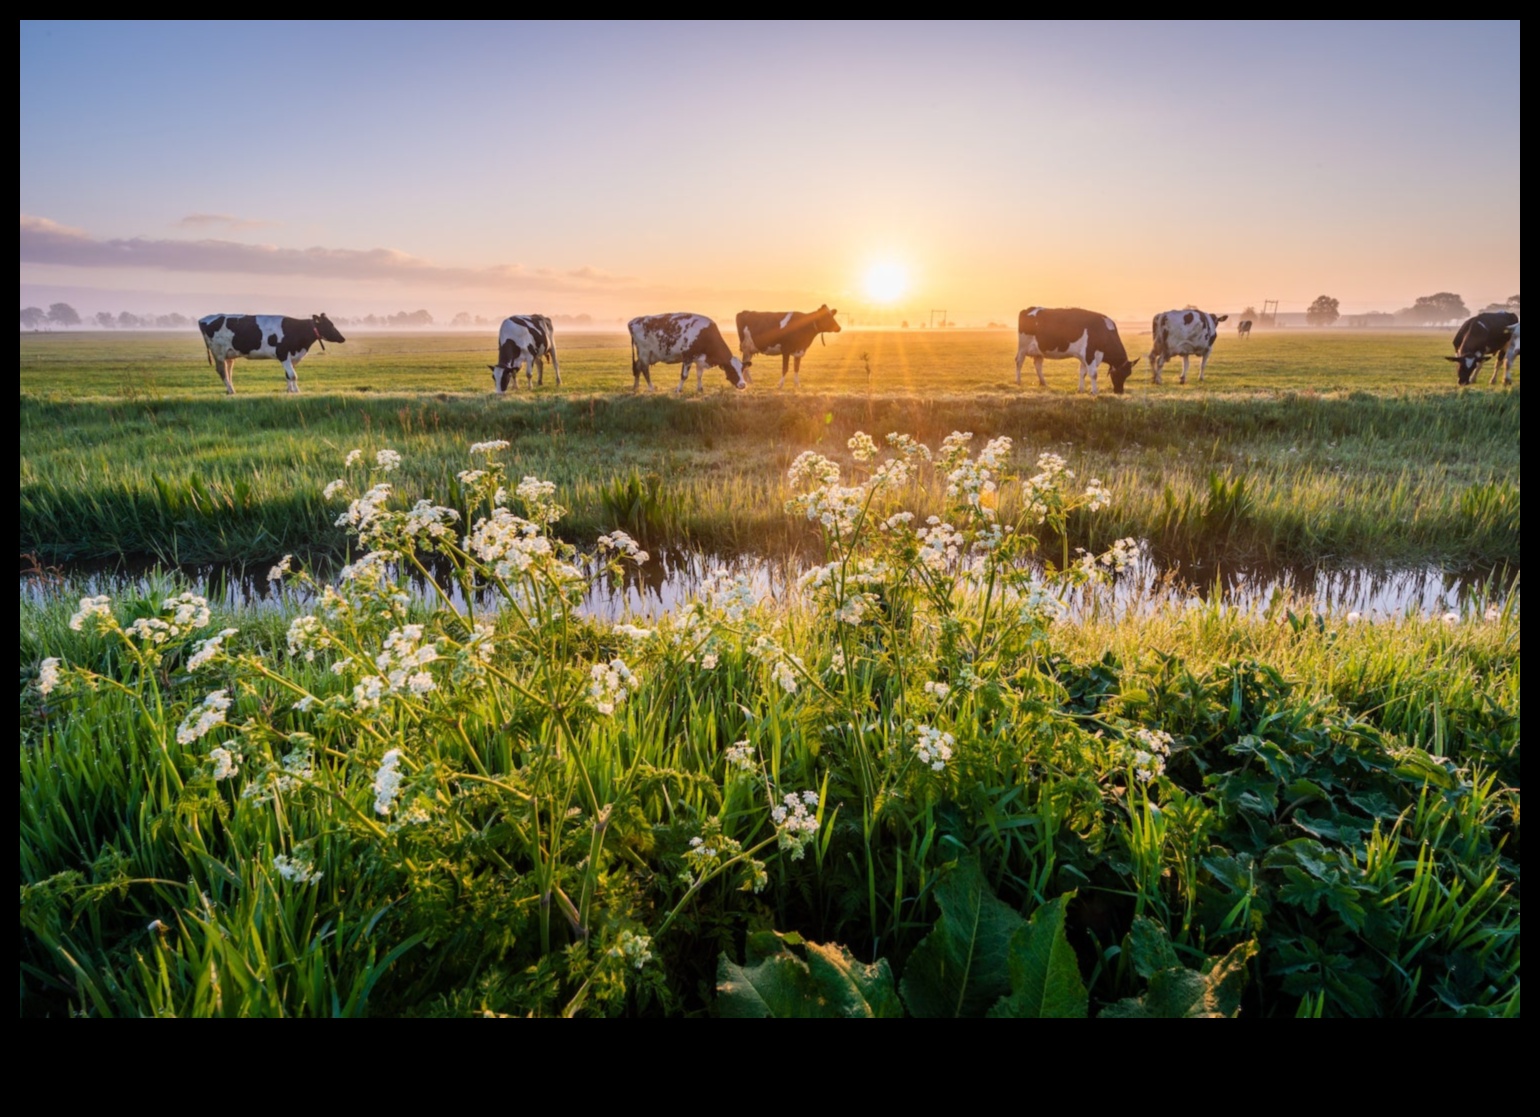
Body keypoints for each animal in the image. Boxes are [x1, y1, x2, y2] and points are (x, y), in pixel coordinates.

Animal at [197, 311, 344, 394]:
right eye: (330, 325)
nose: (343, 338)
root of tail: (204, 318)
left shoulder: (291, 356)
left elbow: (288, 375)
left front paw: (290, 390)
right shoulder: (283, 353)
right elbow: (293, 375)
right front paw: (297, 391)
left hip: (229, 354)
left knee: (228, 371)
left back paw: (231, 389)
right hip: (219, 353)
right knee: (222, 371)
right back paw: (231, 390)